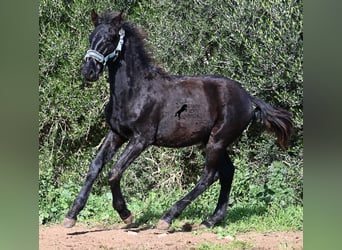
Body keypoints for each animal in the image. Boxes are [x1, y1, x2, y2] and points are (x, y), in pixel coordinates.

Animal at [64, 9, 294, 229]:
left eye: (111, 37)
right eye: (91, 36)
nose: (88, 71)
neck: (135, 91)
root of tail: (247, 97)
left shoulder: (141, 139)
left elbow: (114, 171)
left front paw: (126, 215)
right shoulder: (117, 133)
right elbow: (95, 167)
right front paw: (71, 216)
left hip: (218, 140)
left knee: (209, 177)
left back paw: (168, 218)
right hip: (214, 141)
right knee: (227, 173)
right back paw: (212, 220)